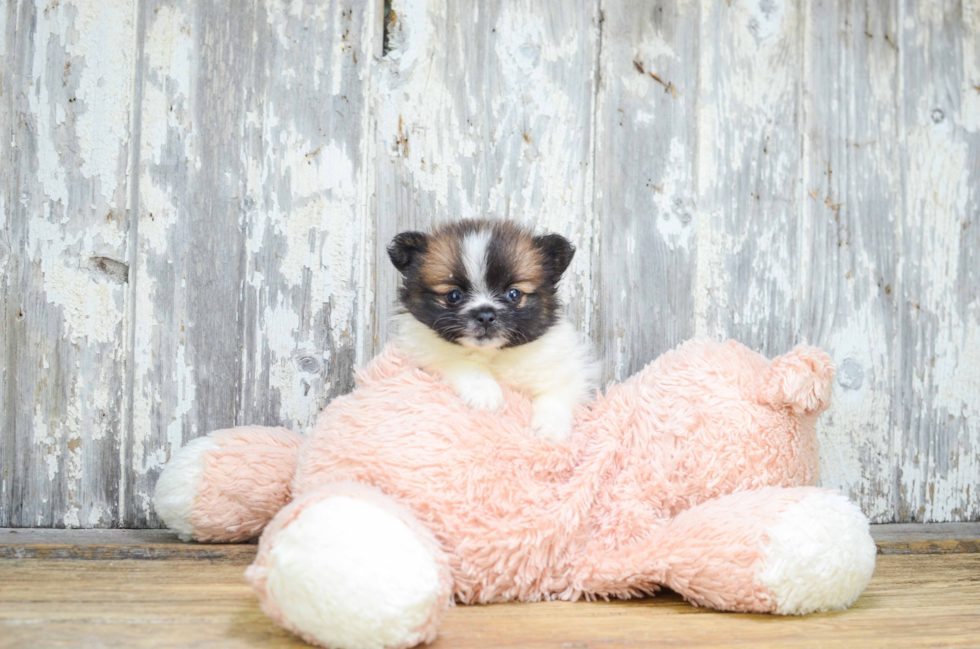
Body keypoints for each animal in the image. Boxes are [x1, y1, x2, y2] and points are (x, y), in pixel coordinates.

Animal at [388, 220, 596, 442]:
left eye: (514, 294)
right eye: (454, 296)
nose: (486, 315)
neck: (492, 353)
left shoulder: (565, 370)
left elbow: (557, 393)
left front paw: (551, 428)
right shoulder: (426, 351)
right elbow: (464, 363)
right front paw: (485, 394)